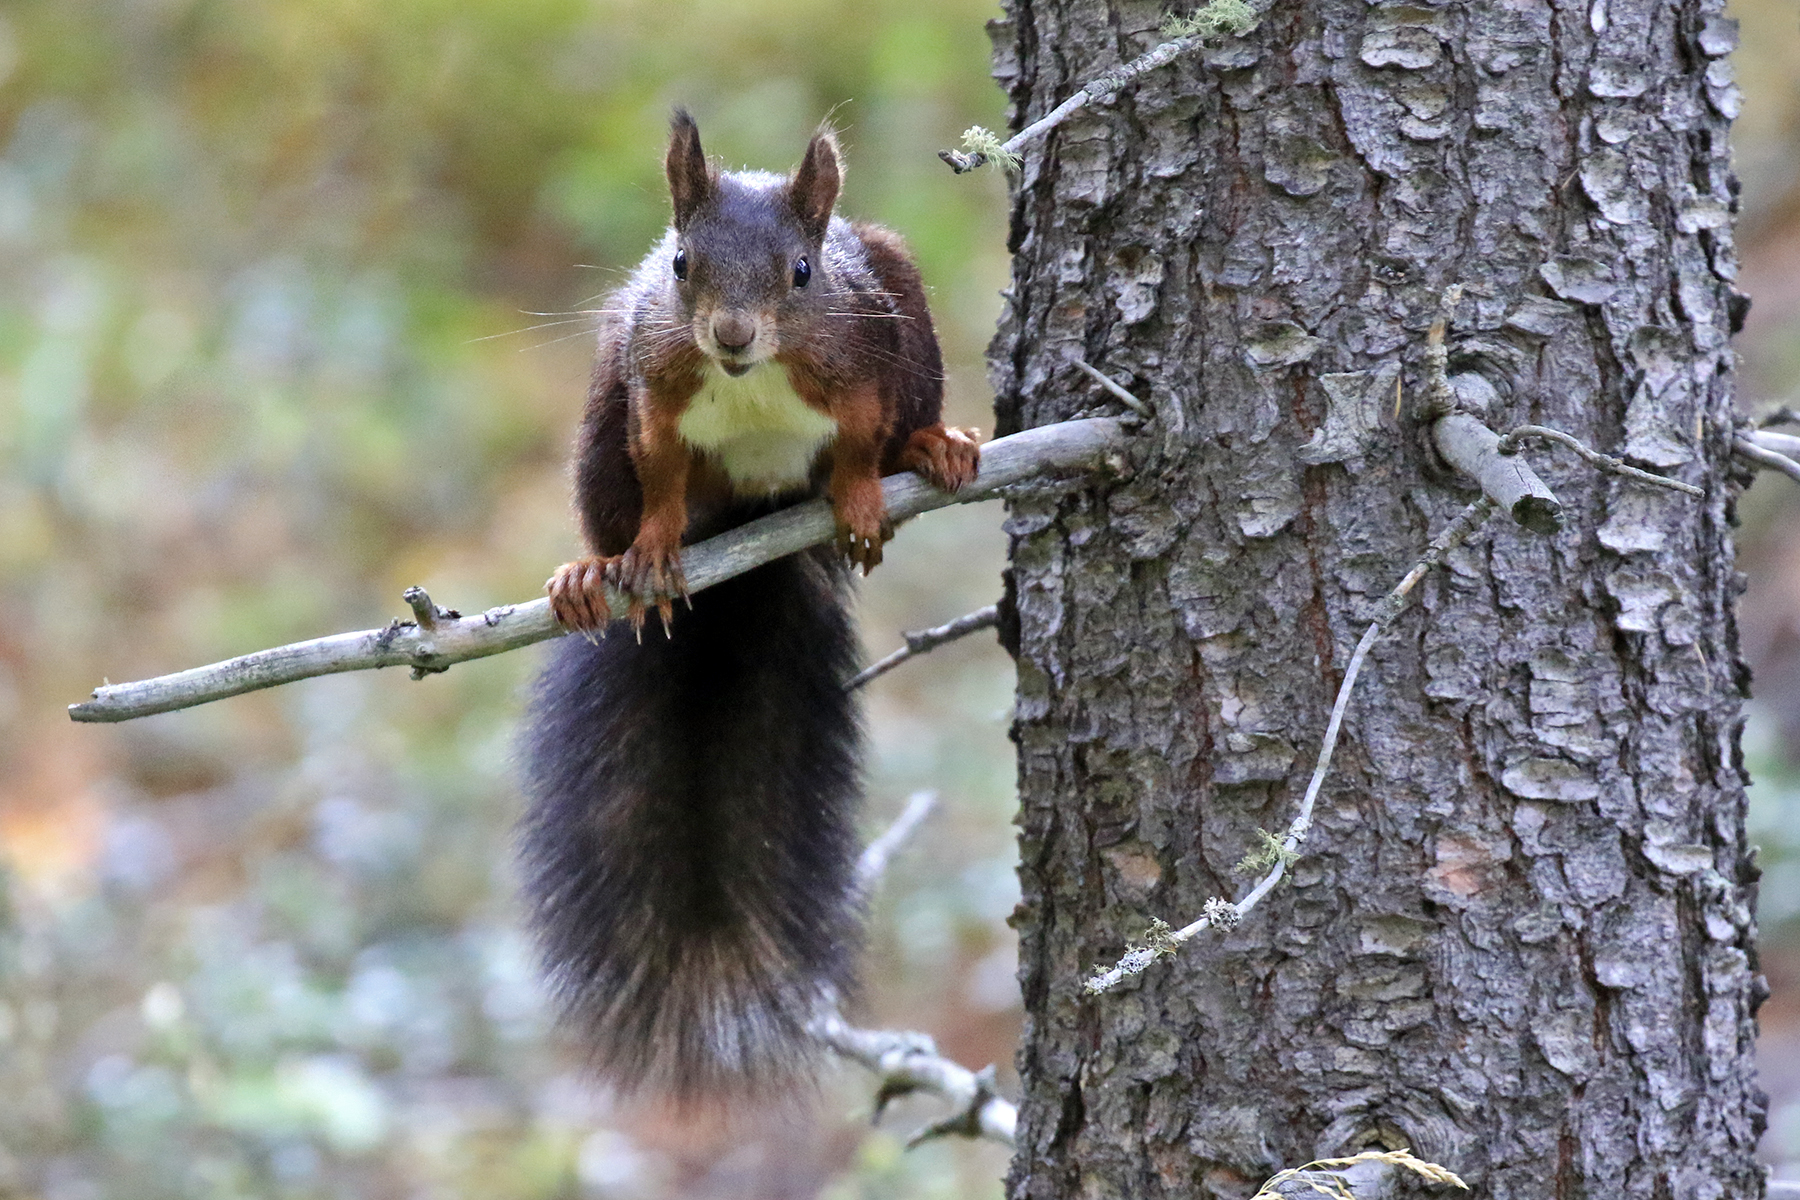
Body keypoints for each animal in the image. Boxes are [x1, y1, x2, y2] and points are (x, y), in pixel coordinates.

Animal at [517, 110, 981, 1101]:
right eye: (682, 262)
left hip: (904, 297)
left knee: (908, 419)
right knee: (611, 497)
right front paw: (653, 547)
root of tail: (752, 532)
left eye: (801, 272)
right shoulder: (651, 387)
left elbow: (859, 446)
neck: (751, 378)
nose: (730, 334)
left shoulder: (864, 361)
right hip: (603, 386)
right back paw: (591, 573)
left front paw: (861, 502)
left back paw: (937, 447)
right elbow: (658, 475)